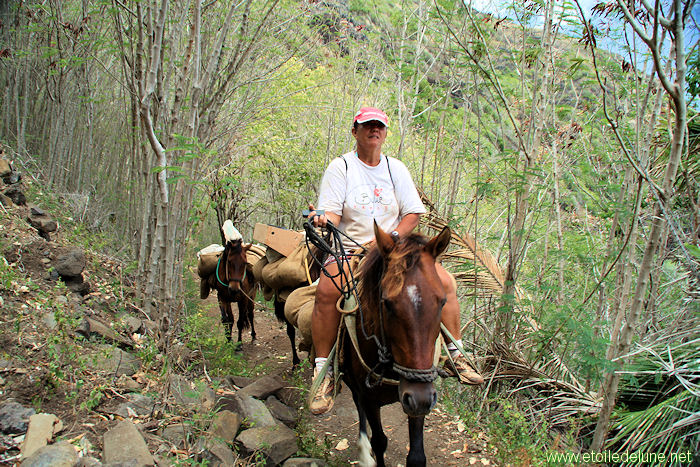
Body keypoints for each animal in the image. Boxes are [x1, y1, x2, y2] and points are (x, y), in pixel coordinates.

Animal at [340, 224, 452, 467]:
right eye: (387, 304)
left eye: (442, 302)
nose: (420, 398)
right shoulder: (370, 397)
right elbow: (380, 441)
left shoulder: (418, 400)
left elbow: (417, 456)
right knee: (358, 405)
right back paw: (363, 453)